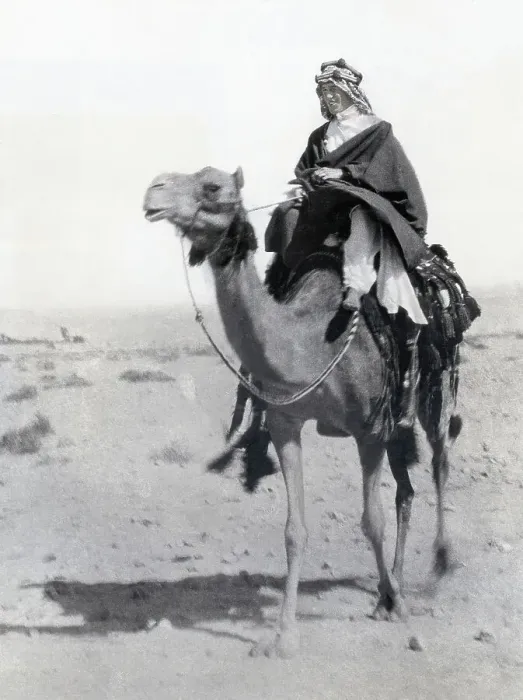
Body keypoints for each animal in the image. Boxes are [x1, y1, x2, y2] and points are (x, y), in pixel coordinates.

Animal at [143, 166, 463, 658]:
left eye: (212, 186)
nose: (153, 191)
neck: (313, 341)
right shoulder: (286, 422)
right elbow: (295, 530)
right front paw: (283, 636)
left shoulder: (368, 429)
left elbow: (371, 522)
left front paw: (404, 617)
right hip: (396, 420)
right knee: (406, 490)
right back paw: (392, 589)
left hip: (431, 385)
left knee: (440, 461)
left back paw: (436, 568)